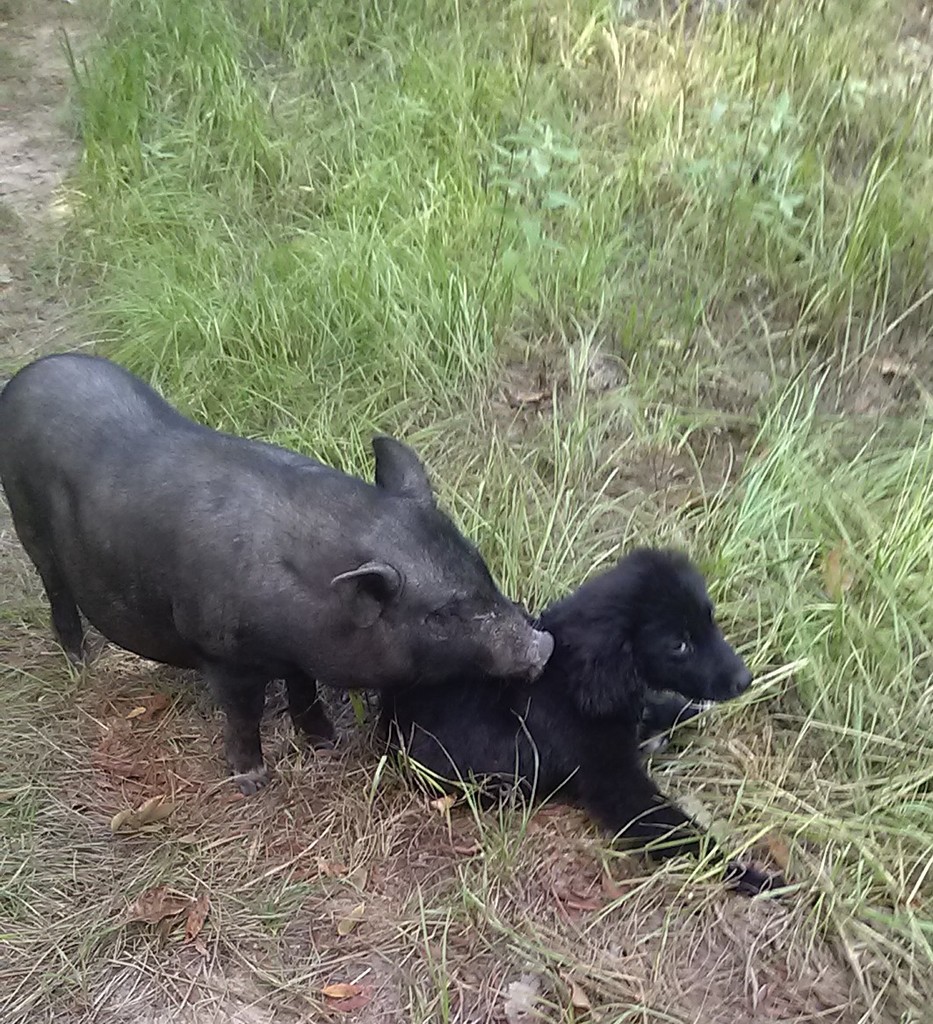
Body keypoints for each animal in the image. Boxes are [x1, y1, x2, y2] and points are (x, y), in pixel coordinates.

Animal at [0, 352, 553, 790]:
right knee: (56, 589)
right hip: (28, 525)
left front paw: (326, 743)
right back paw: (80, 661)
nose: (542, 645)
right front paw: (253, 781)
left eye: (481, 567)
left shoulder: (298, 658)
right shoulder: (220, 652)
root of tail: (27, 374)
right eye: (440, 615)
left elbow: (305, 695)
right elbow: (243, 714)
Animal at [378, 548, 782, 892]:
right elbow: (682, 831)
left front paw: (687, 711)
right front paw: (751, 876)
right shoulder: (616, 785)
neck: (573, 676)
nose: (745, 680)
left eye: (711, 620)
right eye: (679, 645)